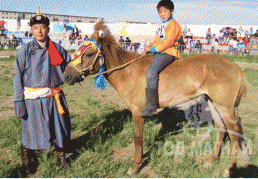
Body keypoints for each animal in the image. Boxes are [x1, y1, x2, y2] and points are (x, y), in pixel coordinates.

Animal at [63, 20, 247, 176]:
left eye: (88, 54)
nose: (66, 76)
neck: (129, 72)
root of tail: (235, 67)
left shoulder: (137, 112)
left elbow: (138, 138)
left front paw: (135, 165)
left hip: (225, 107)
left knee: (233, 132)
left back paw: (229, 169)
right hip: (214, 103)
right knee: (221, 129)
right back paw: (211, 160)